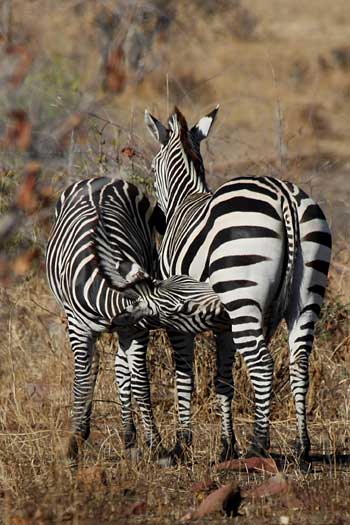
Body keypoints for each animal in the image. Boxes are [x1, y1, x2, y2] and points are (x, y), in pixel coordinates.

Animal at [146, 106, 334, 458]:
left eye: (151, 169)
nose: (156, 221)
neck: (184, 199)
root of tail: (283, 195)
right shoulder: (223, 321)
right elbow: (223, 380)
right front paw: (226, 446)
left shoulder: (176, 311)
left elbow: (184, 375)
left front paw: (182, 443)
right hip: (307, 290)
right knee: (299, 362)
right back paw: (302, 447)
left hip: (243, 293)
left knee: (261, 363)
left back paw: (258, 447)